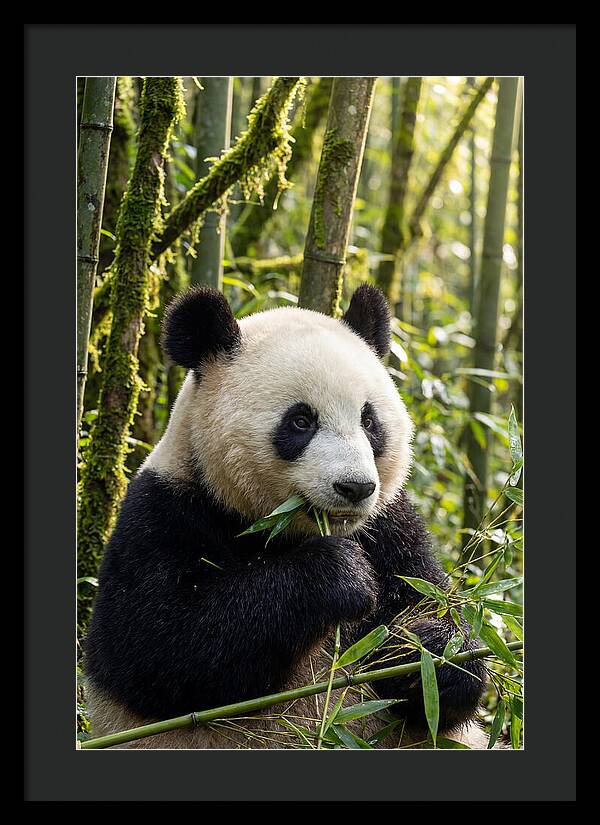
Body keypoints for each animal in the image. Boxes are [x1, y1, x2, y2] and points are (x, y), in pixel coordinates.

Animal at [84, 284, 487, 749]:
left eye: (369, 421)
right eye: (300, 421)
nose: (355, 488)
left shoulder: (390, 528)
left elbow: (436, 617)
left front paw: (426, 652)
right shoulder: (164, 514)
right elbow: (160, 648)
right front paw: (340, 575)